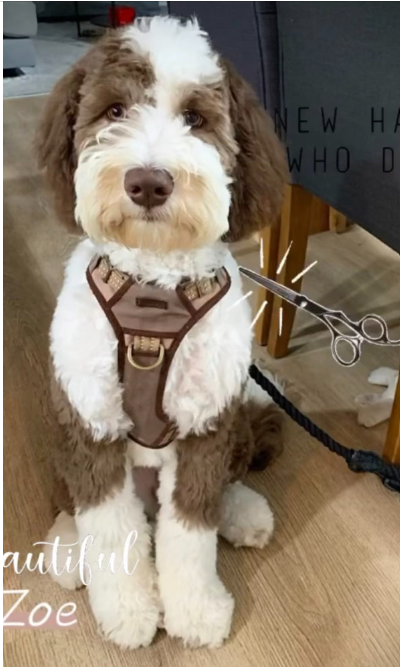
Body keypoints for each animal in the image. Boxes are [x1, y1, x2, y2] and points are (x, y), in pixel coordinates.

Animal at [36, 15, 288, 648]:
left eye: (196, 118)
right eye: (114, 110)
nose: (148, 182)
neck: (154, 289)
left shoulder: (205, 424)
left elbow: (191, 529)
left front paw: (195, 611)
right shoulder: (90, 422)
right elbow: (110, 529)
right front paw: (129, 612)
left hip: (232, 422)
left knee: (222, 481)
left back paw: (241, 513)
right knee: (78, 505)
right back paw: (68, 549)